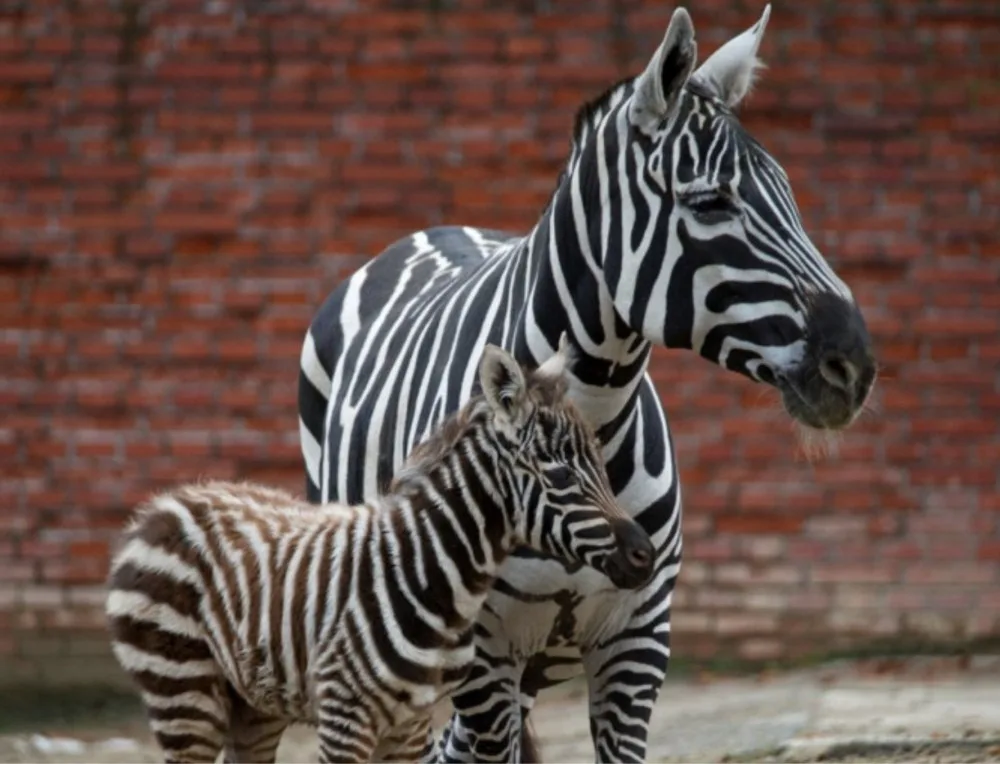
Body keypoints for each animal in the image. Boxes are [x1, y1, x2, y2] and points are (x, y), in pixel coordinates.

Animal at [106, 341, 655, 764]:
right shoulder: (344, 716)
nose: (645, 555)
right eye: (560, 475)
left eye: (602, 464)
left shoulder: (410, 723)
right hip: (182, 689)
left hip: (251, 705)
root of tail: (162, 505)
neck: (430, 572)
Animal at [298, 5, 876, 762]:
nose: (855, 366)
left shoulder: (638, 640)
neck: (593, 419)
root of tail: (429, 231)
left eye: (788, 195)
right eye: (710, 203)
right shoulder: (485, 653)